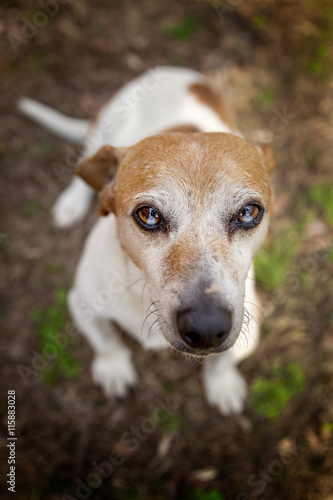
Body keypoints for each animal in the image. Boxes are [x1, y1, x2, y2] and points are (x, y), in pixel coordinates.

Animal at [18, 67, 272, 418]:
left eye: (248, 213)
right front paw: (113, 369)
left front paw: (223, 384)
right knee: (80, 171)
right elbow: (106, 342)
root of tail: (173, 70)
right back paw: (71, 203)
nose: (207, 327)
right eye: (149, 215)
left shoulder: (250, 328)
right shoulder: (81, 304)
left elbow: (224, 361)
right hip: (102, 135)